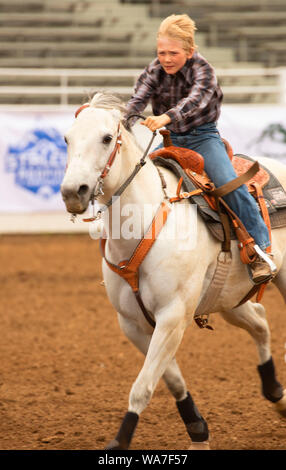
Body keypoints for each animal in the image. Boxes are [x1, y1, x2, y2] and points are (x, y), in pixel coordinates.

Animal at [61, 91, 286, 448]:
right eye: (67, 139)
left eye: (107, 138)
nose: (73, 192)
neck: (145, 224)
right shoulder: (133, 324)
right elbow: (171, 381)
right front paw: (198, 430)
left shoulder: (172, 316)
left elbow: (142, 387)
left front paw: (120, 441)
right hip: (227, 299)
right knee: (261, 321)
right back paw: (276, 395)